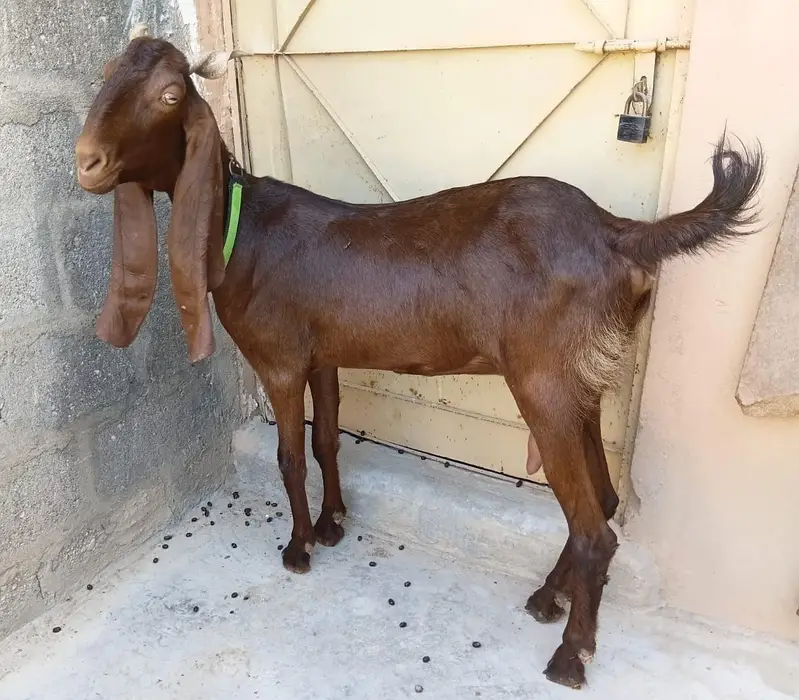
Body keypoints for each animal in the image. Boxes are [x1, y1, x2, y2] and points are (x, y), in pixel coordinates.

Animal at [74, 31, 763, 690]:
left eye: (169, 95)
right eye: (106, 74)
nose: (86, 161)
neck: (243, 230)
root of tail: (617, 231)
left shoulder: (279, 360)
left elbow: (289, 456)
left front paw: (298, 548)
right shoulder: (324, 355)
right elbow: (326, 439)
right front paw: (333, 523)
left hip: (542, 380)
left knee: (597, 529)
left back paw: (570, 654)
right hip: (580, 379)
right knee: (606, 499)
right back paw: (549, 597)